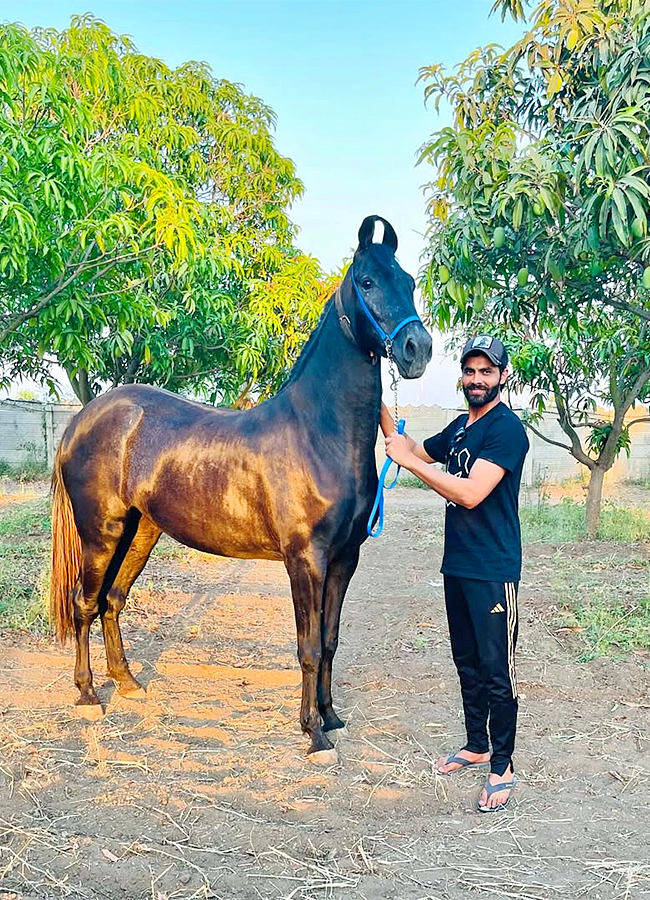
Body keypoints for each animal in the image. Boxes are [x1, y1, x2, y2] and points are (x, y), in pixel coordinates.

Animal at [50, 214, 430, 764]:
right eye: (367, 282)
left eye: (410, 282)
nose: (417, 349)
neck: (317, 433)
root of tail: (85, 418)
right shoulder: (305, 561)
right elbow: (308, 646)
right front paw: (314, 736)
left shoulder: (344, 559)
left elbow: (330, 641)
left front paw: (331, 718)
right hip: (102, 531)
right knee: (85, 601)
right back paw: (87, 695)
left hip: (141, 531)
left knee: (113, 600)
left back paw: (128, 683)